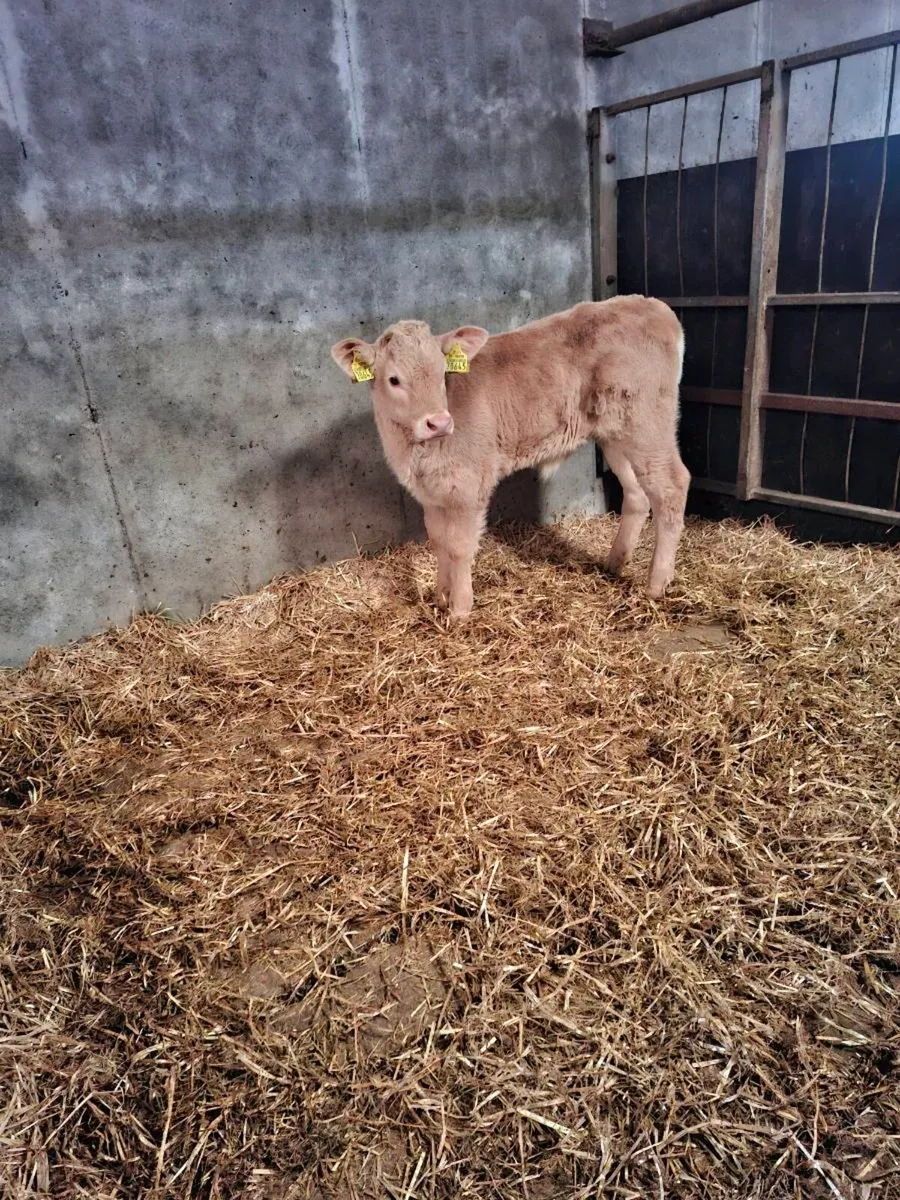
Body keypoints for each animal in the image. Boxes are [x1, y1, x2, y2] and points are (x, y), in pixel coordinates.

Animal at [331, 296, 689, 621]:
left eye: (441, 373)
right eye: (393, 379)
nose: (439, 422)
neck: (414, 452)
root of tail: (651, 305)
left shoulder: (468, 485)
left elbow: (459, 546)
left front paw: (459, 609)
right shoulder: (431, 493)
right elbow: (438, 541)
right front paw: (440, 596)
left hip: (647, 423)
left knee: (672, 486)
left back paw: (656, 584)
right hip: (616, 433)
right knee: (638, 493)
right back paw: (615, 562)